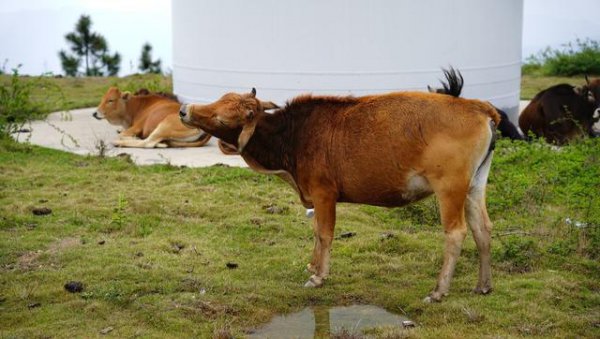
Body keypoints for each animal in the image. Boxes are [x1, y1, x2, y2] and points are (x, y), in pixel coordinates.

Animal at [180, 88, 500, 302]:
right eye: (220, 99)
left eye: (223, 118)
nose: (185, 110)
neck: (294, 134)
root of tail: (477, 107)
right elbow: (316, 231)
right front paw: (312, 264)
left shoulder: (324, 194)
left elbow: (324, 233)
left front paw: (318, 275)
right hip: (474, 186)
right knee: (482, 228)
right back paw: (483, 285)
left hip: (449, 188)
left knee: (456, 233)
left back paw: (438, 290)